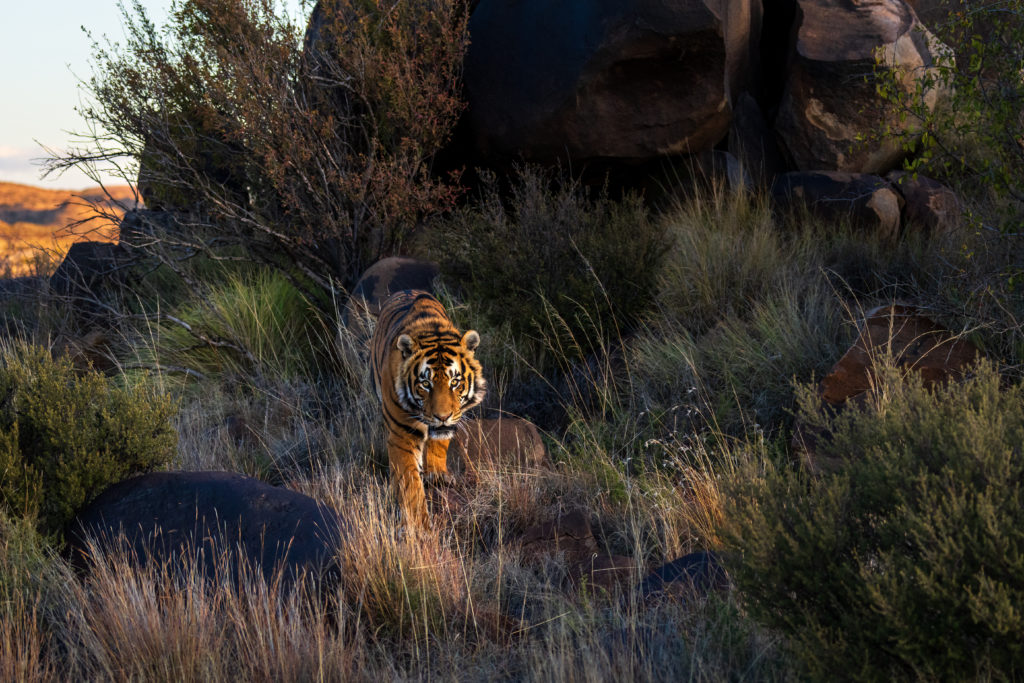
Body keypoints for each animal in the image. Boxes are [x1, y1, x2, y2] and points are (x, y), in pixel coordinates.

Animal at [370, 288, 485, 528]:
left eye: (455, 382)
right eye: (425, 383)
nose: (442, 416)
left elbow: (439, 444)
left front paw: (438, 475)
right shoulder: (401, 435)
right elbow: (409, 484)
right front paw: (419, 525)